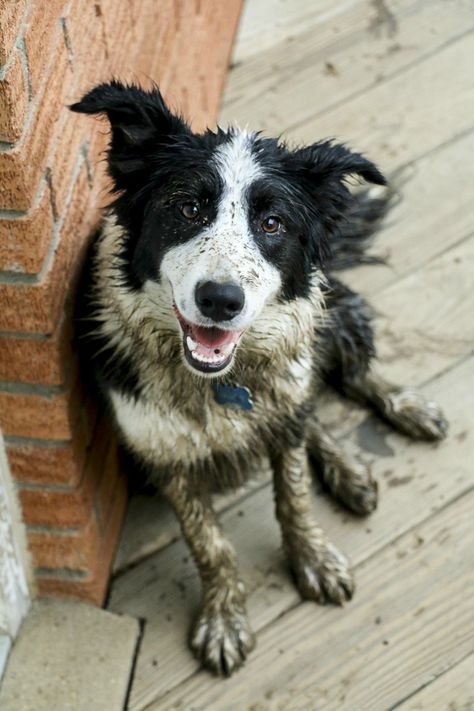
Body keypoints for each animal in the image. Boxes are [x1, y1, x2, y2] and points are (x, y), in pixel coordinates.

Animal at [70, 82, 448, 680]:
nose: (221, 300)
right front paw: (224, 619)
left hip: (326, 322)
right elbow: (211, 544)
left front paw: (313, 559)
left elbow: (293, 496)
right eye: (188, 207)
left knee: (337, 384)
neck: (217, 381)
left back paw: (398, 416)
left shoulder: (281, 401)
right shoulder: (163, 455)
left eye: (272, 224)